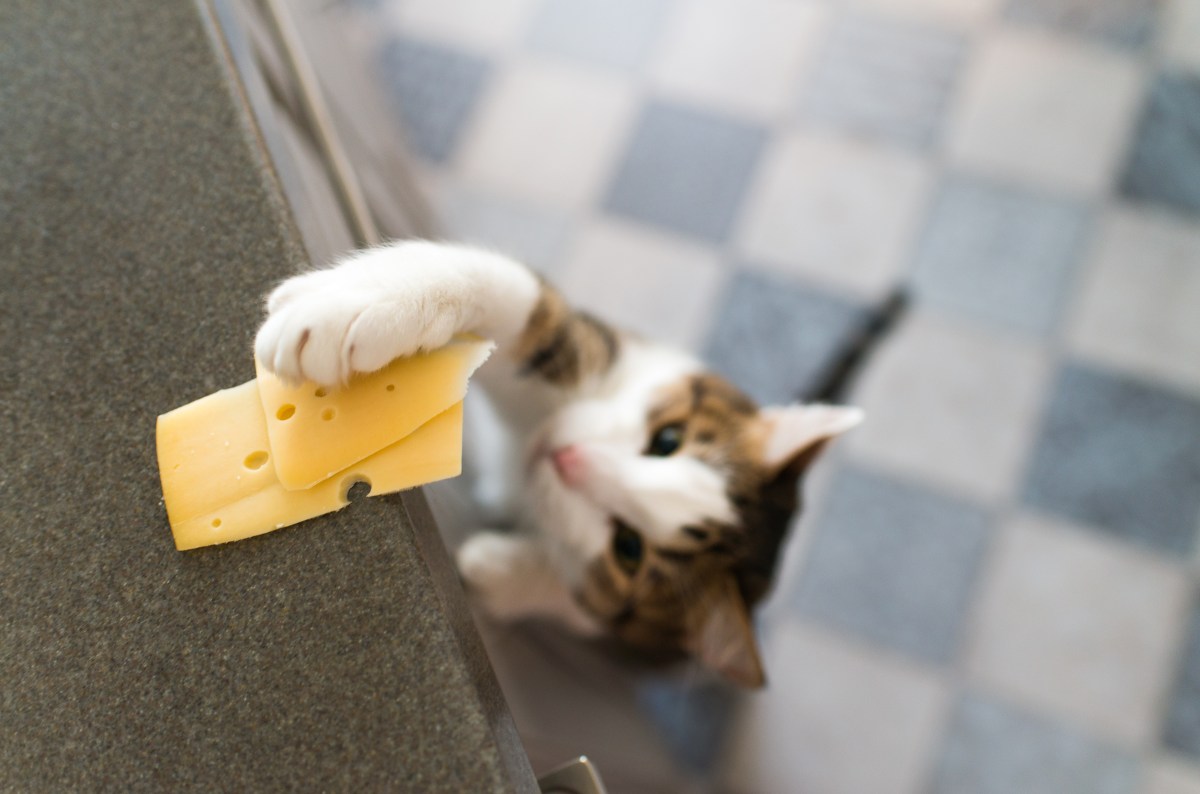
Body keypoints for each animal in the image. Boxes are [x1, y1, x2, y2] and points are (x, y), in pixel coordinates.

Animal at [255, 239, 864, 686]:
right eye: (667, 440)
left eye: (628, 548)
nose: (565, 456)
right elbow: (525, 303)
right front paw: (361, 301)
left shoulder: (639, 632)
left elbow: (585, 606)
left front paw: (502, 572)